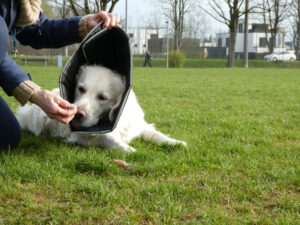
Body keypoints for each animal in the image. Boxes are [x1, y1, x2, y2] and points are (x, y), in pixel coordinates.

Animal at [16, 66, 186, 152]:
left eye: (103, 97)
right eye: (81, 89)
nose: (78, 114)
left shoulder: (138, 126)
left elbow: (158, 135)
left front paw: (175, 142)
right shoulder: (81, 136)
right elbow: (110, 138)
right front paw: (129, 149)